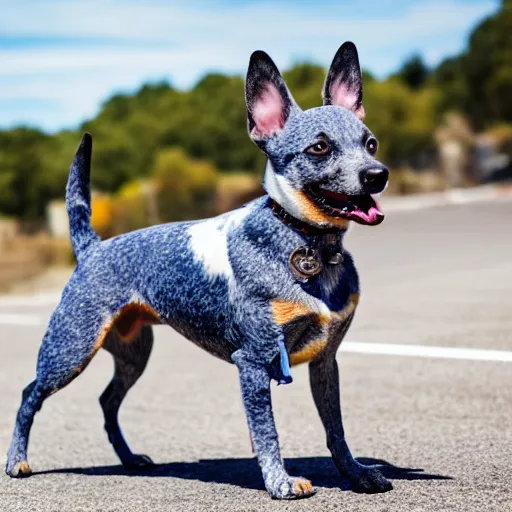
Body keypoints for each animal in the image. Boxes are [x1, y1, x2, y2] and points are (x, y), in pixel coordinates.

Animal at [5, 43, 392, 500]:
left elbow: (336, 430)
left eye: (370, 143)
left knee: (107, 401)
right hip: (69, 351)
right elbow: (267, 432)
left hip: (133, 355)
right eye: (319, 148)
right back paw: (16, 461)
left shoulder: (326, 363)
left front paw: (356, 473)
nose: (378, 174)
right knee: (30, 393)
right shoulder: (253, 361)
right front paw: (279, 482)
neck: (308, 244)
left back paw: (129, 458)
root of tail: (92, 247)